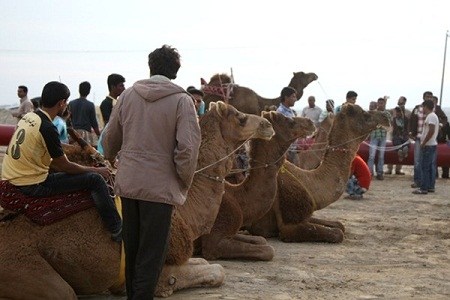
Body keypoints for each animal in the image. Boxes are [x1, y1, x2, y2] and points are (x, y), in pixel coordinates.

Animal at [0, 102, 274, 298]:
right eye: (239, 116)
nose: (267, 123)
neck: (185, 207)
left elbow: (206, 262)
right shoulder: (159, 269)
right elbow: (217, 271)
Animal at [200, 110, 316, 260]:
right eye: (287, 120)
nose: (311, 122)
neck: (239, 199)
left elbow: (260, 239)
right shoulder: (213, 242)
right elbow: (268, 250)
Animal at [246, 105, 390, 244]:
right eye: (365, 114)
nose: (386, 116)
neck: (307, 180)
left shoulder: (307, 216)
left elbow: (339, 225)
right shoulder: (289, 225)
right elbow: (337, 233)